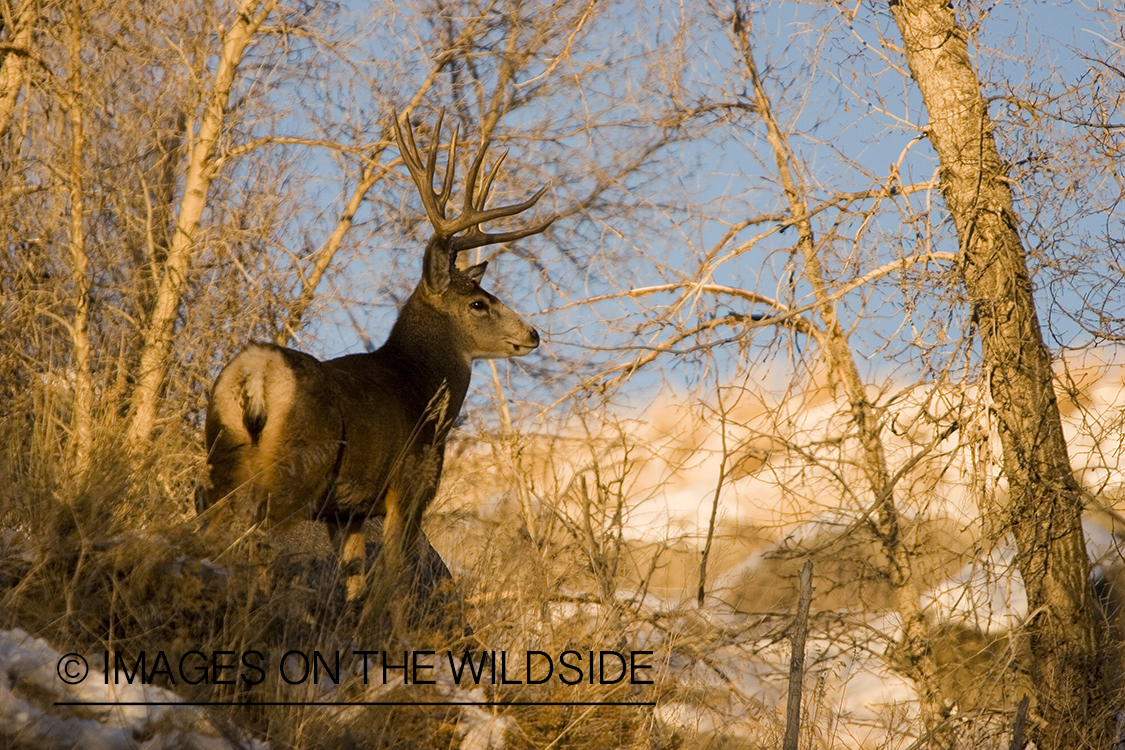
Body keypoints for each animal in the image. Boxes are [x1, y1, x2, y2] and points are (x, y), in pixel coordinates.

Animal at [200, 111, 555, 611]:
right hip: (296, 470)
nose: (532, 334)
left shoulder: (347, 512)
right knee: (258, 540)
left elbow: (354, 582)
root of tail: (256, 372)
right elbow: (392, 584)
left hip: (221, 454)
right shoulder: (409, 487)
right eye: (479, 303)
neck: (420, 387)